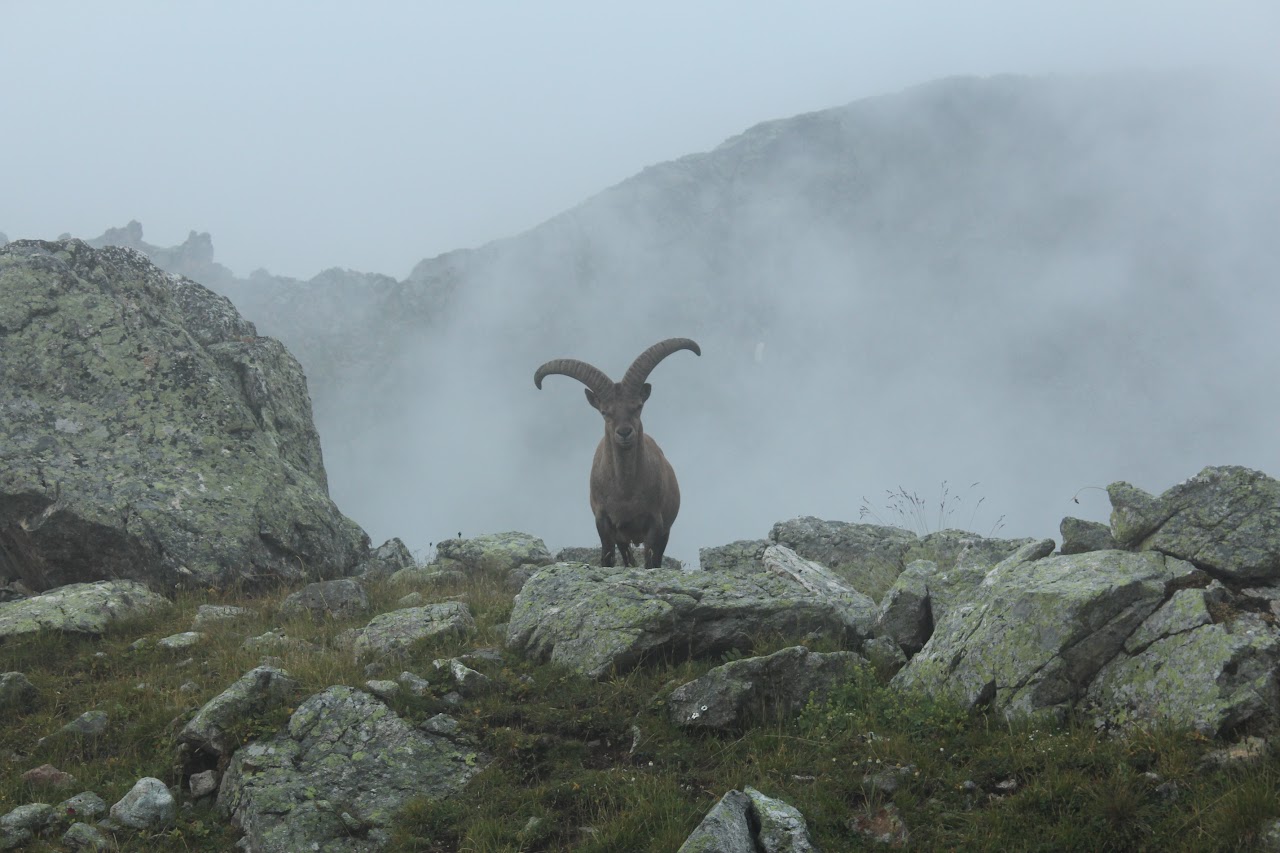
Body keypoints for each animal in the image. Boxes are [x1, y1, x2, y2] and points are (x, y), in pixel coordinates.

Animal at [537, 335, 706, 568]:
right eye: (604, 412)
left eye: (638, 406)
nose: (624, 432)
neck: (626, 491)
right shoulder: (604, 520)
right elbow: (607, 556)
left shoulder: (655, 521)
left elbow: (651, 560)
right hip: (624, 538)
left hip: (665, 530)